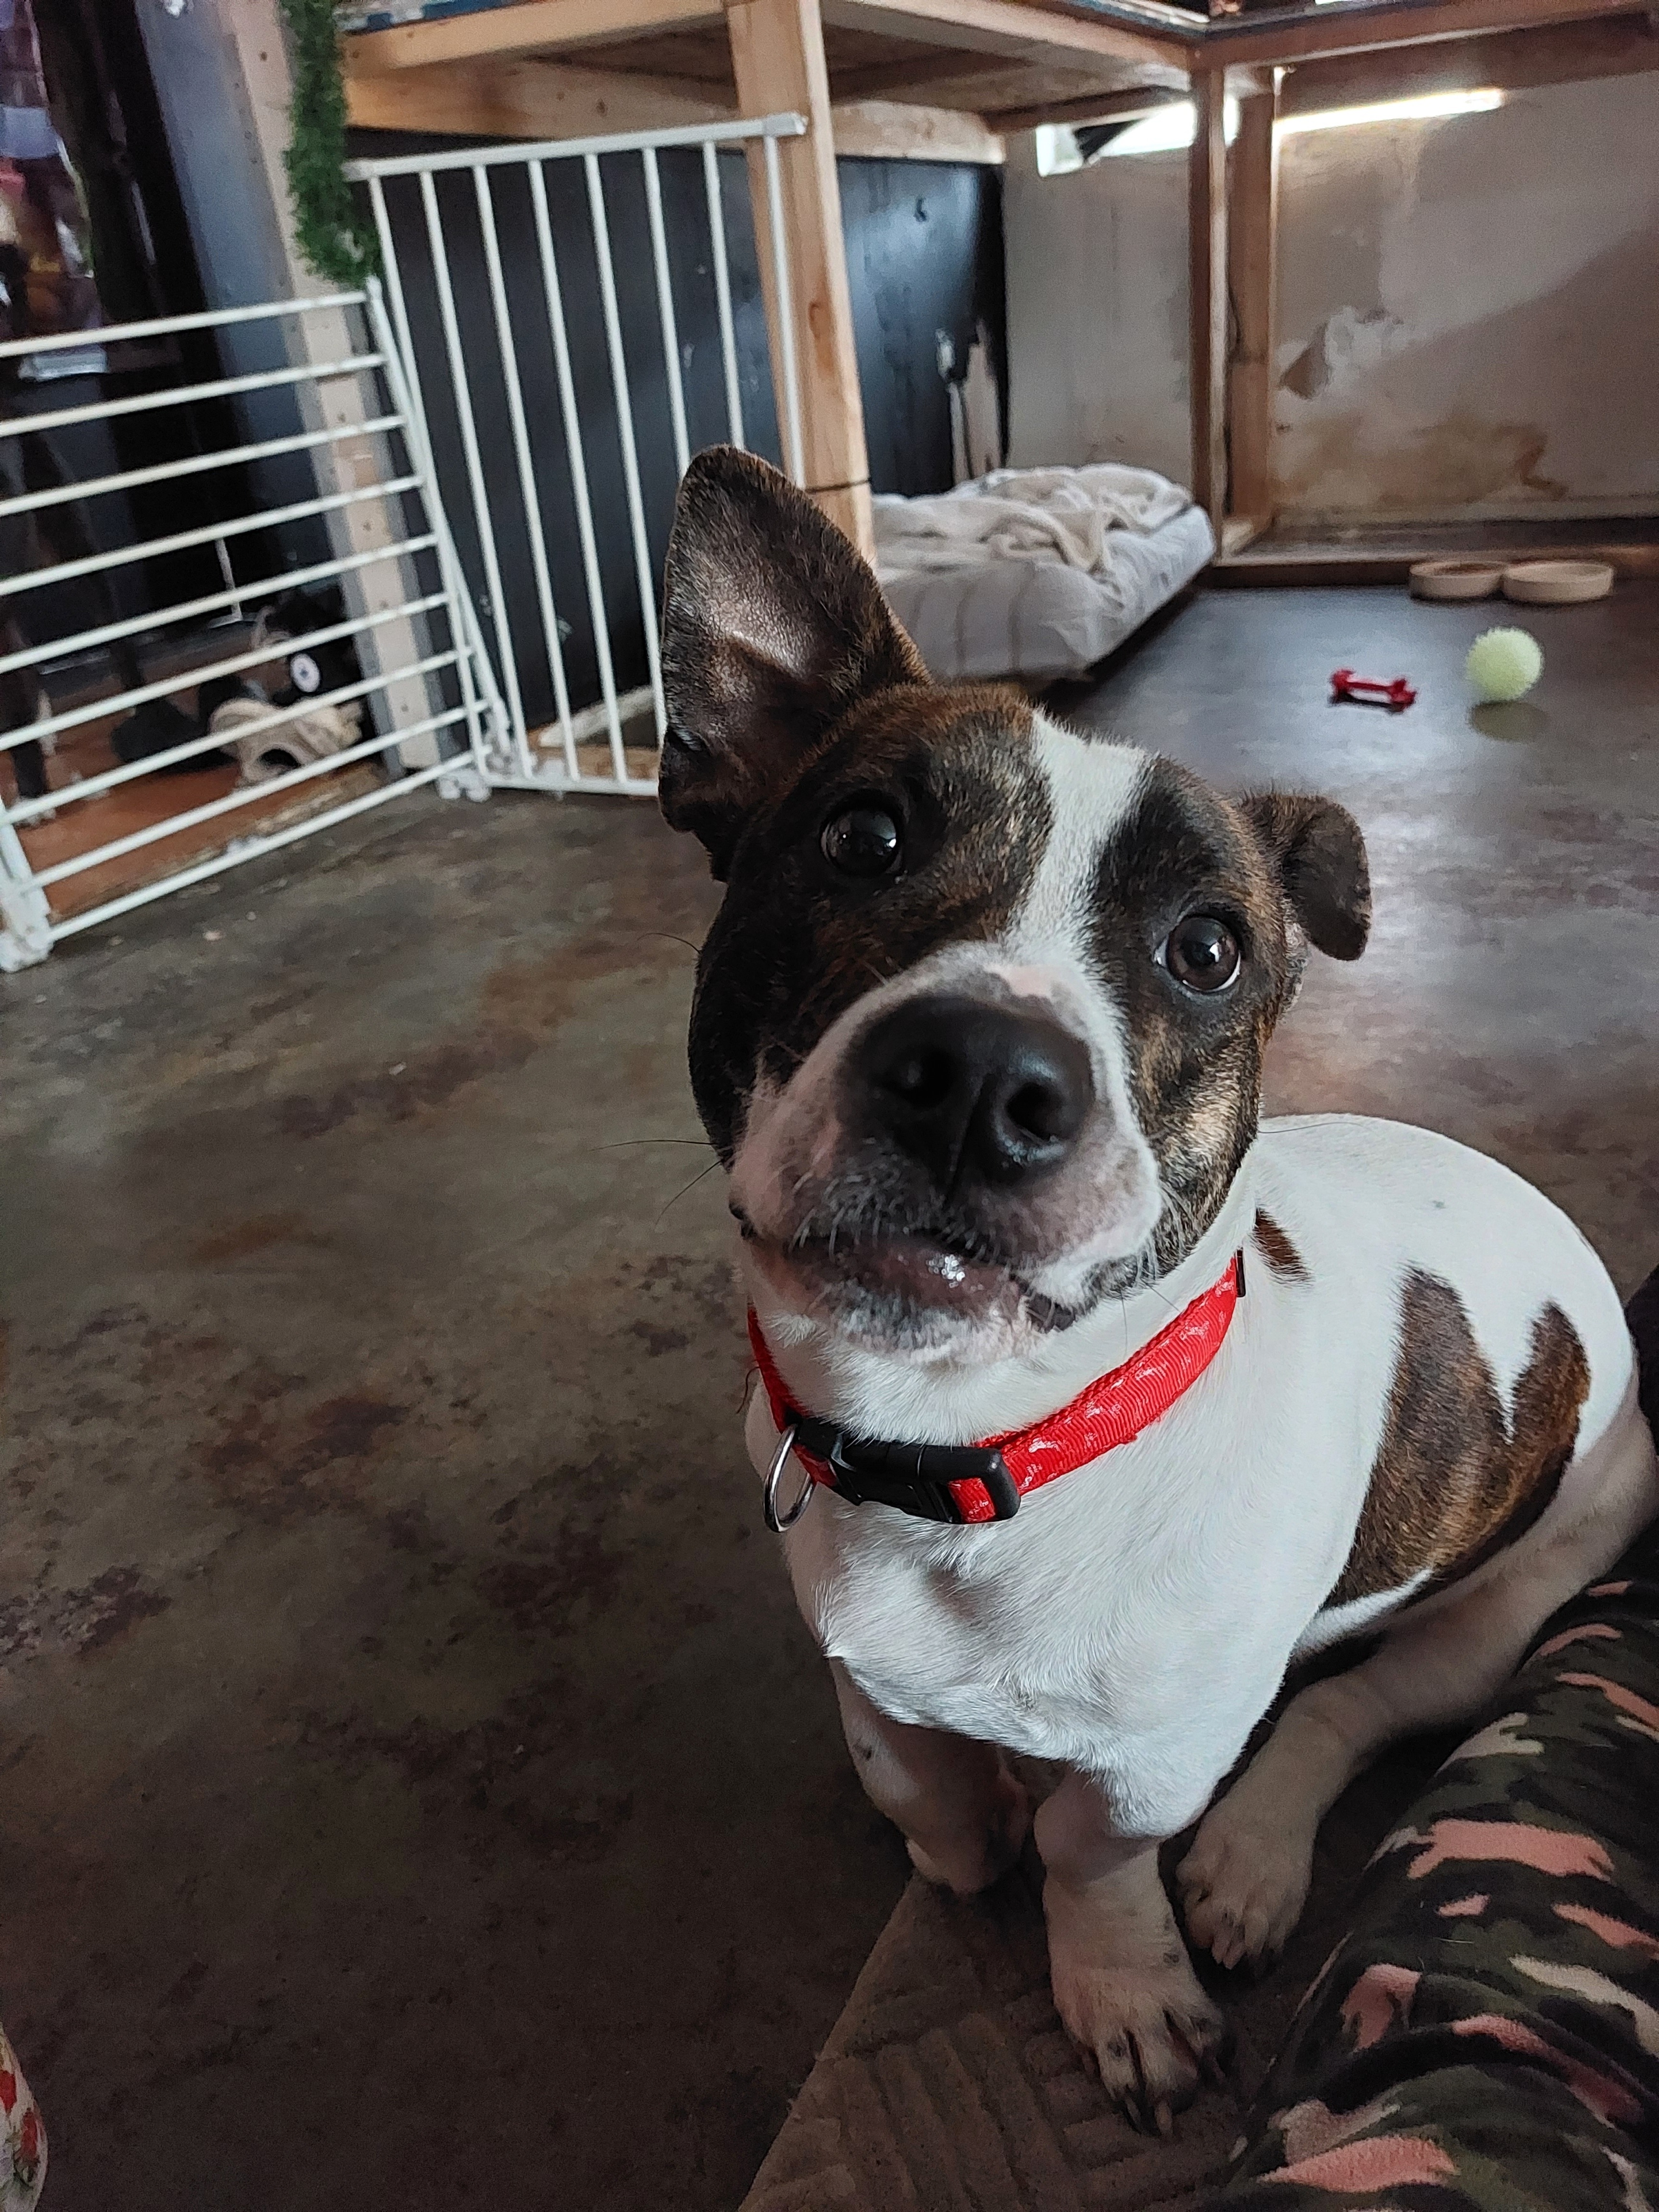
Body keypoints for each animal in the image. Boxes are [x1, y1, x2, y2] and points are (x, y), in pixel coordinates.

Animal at [656, 447, 1659, 2131]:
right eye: (860, 840)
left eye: (1205, 951)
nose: (979, 1076)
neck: (970, 1450)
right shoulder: (861, 1652)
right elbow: (906, 1759)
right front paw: (951, 1829)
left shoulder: (1152, 1757)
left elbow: (1092, 1848)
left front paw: (1117, 1977)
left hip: (1504, 1606)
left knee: (1347, 1708)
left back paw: (1252, 1858)